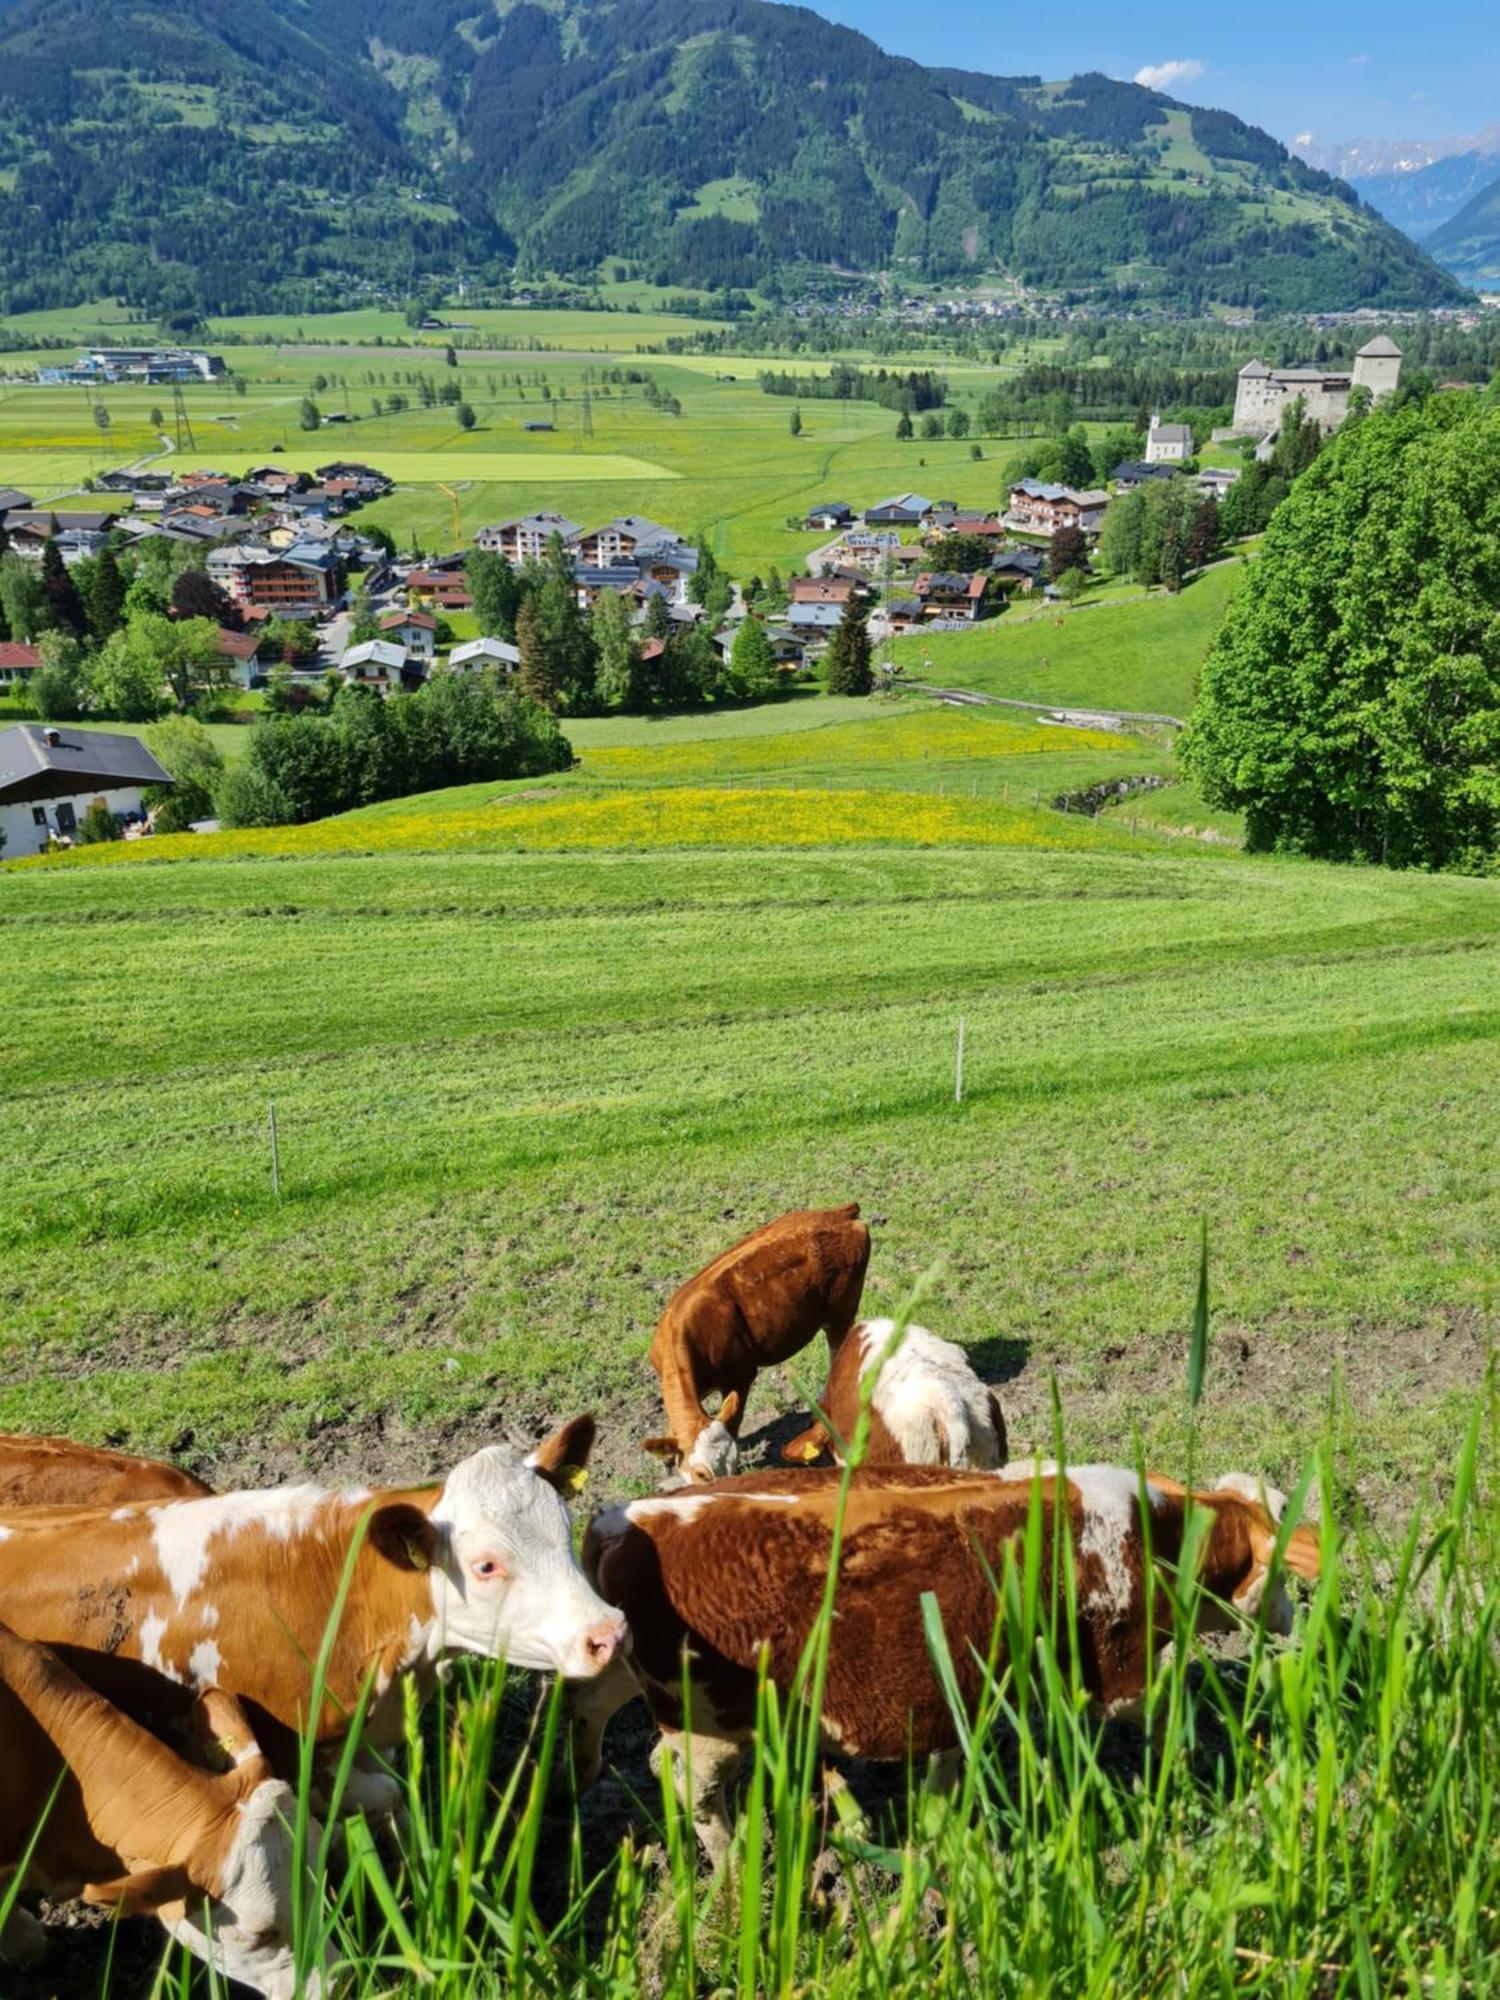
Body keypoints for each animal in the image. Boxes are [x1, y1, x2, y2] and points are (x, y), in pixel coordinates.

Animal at [580, 1456, 1320, 1856]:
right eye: (1279, 1570)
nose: (1293, 1618)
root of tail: (625, 1517)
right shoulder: (1122, 1675)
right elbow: (1167, 1717)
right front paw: (1188, 1779)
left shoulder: (965, 1681)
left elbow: (950, 1759)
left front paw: (940, 1822)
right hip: (711, 1723)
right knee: (689, 1785)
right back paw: (733, 1872)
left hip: (638, 1680)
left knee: (613, 1722)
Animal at [640, 1200, 876, 1488]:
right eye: (701, 1474)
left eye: (733, 1467)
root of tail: (840, 1213)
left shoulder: (741, 1375)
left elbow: (736, 1419)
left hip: (841, 1311)